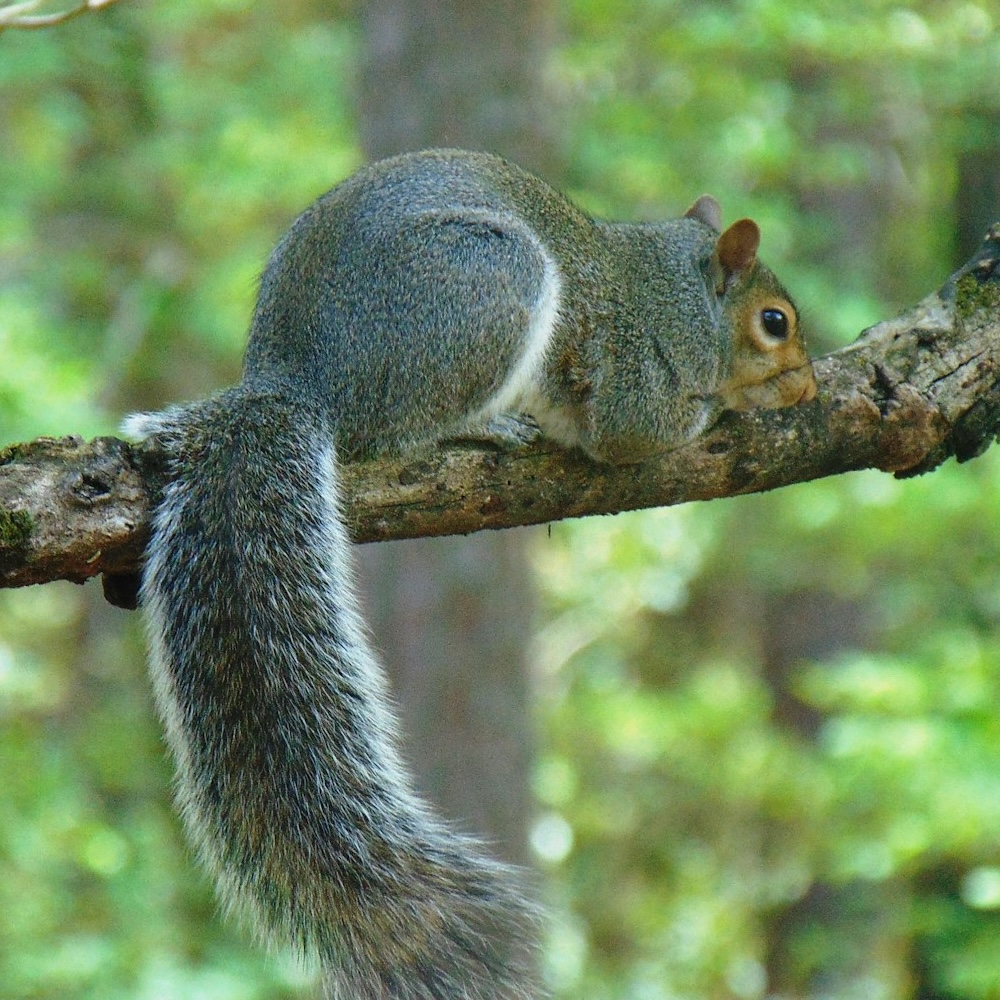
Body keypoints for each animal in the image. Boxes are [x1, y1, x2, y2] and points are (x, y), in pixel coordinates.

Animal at [122, 148, 816, 1000]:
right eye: (774, 323)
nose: (811, 387)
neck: (678, 292)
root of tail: (300, 381)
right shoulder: (638, 371)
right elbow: (637, 433)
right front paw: (736, 404)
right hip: (485, 283)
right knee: (397, 435)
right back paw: (488, 428)